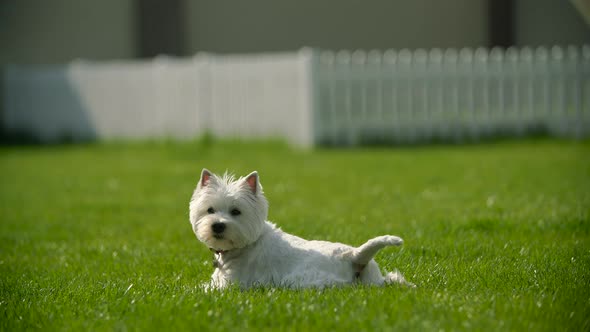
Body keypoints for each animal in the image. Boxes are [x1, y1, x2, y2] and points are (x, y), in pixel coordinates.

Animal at [191, 170, 416, 290]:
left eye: (236, 211)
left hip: (302, 280)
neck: (244, 246)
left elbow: (202, 289)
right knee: (391, 279)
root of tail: (354, 256)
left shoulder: (231, 283)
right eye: (210, 210)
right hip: (375, 279)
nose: (218, 225)